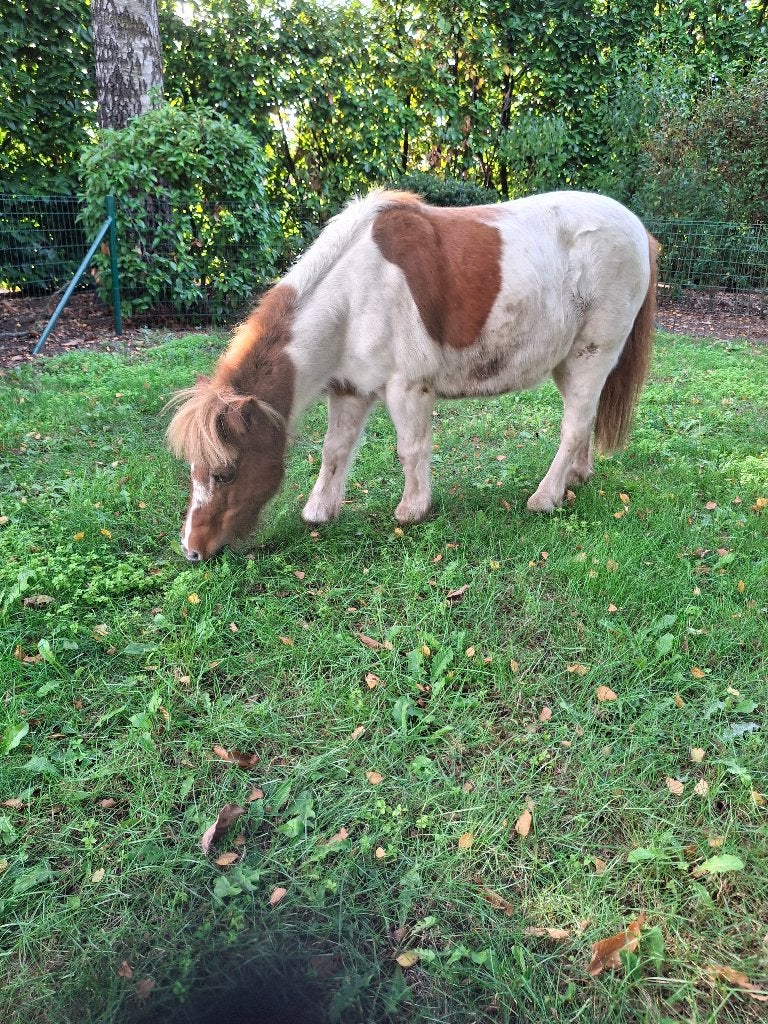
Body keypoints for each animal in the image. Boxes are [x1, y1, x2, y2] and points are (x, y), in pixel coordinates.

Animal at [167, 189, 658, 561]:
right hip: (569, 362)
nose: (192, 550)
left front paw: (412, 510)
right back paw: (577, 477)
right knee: (585, 419)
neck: (353, 293)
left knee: (574, 425)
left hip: (592, 354)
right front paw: (320, 511)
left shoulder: (406, 388)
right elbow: (335, 451)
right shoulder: (349, 390)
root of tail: (639, 231)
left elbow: (411, 449)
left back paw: (545, 497)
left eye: (225, 474)